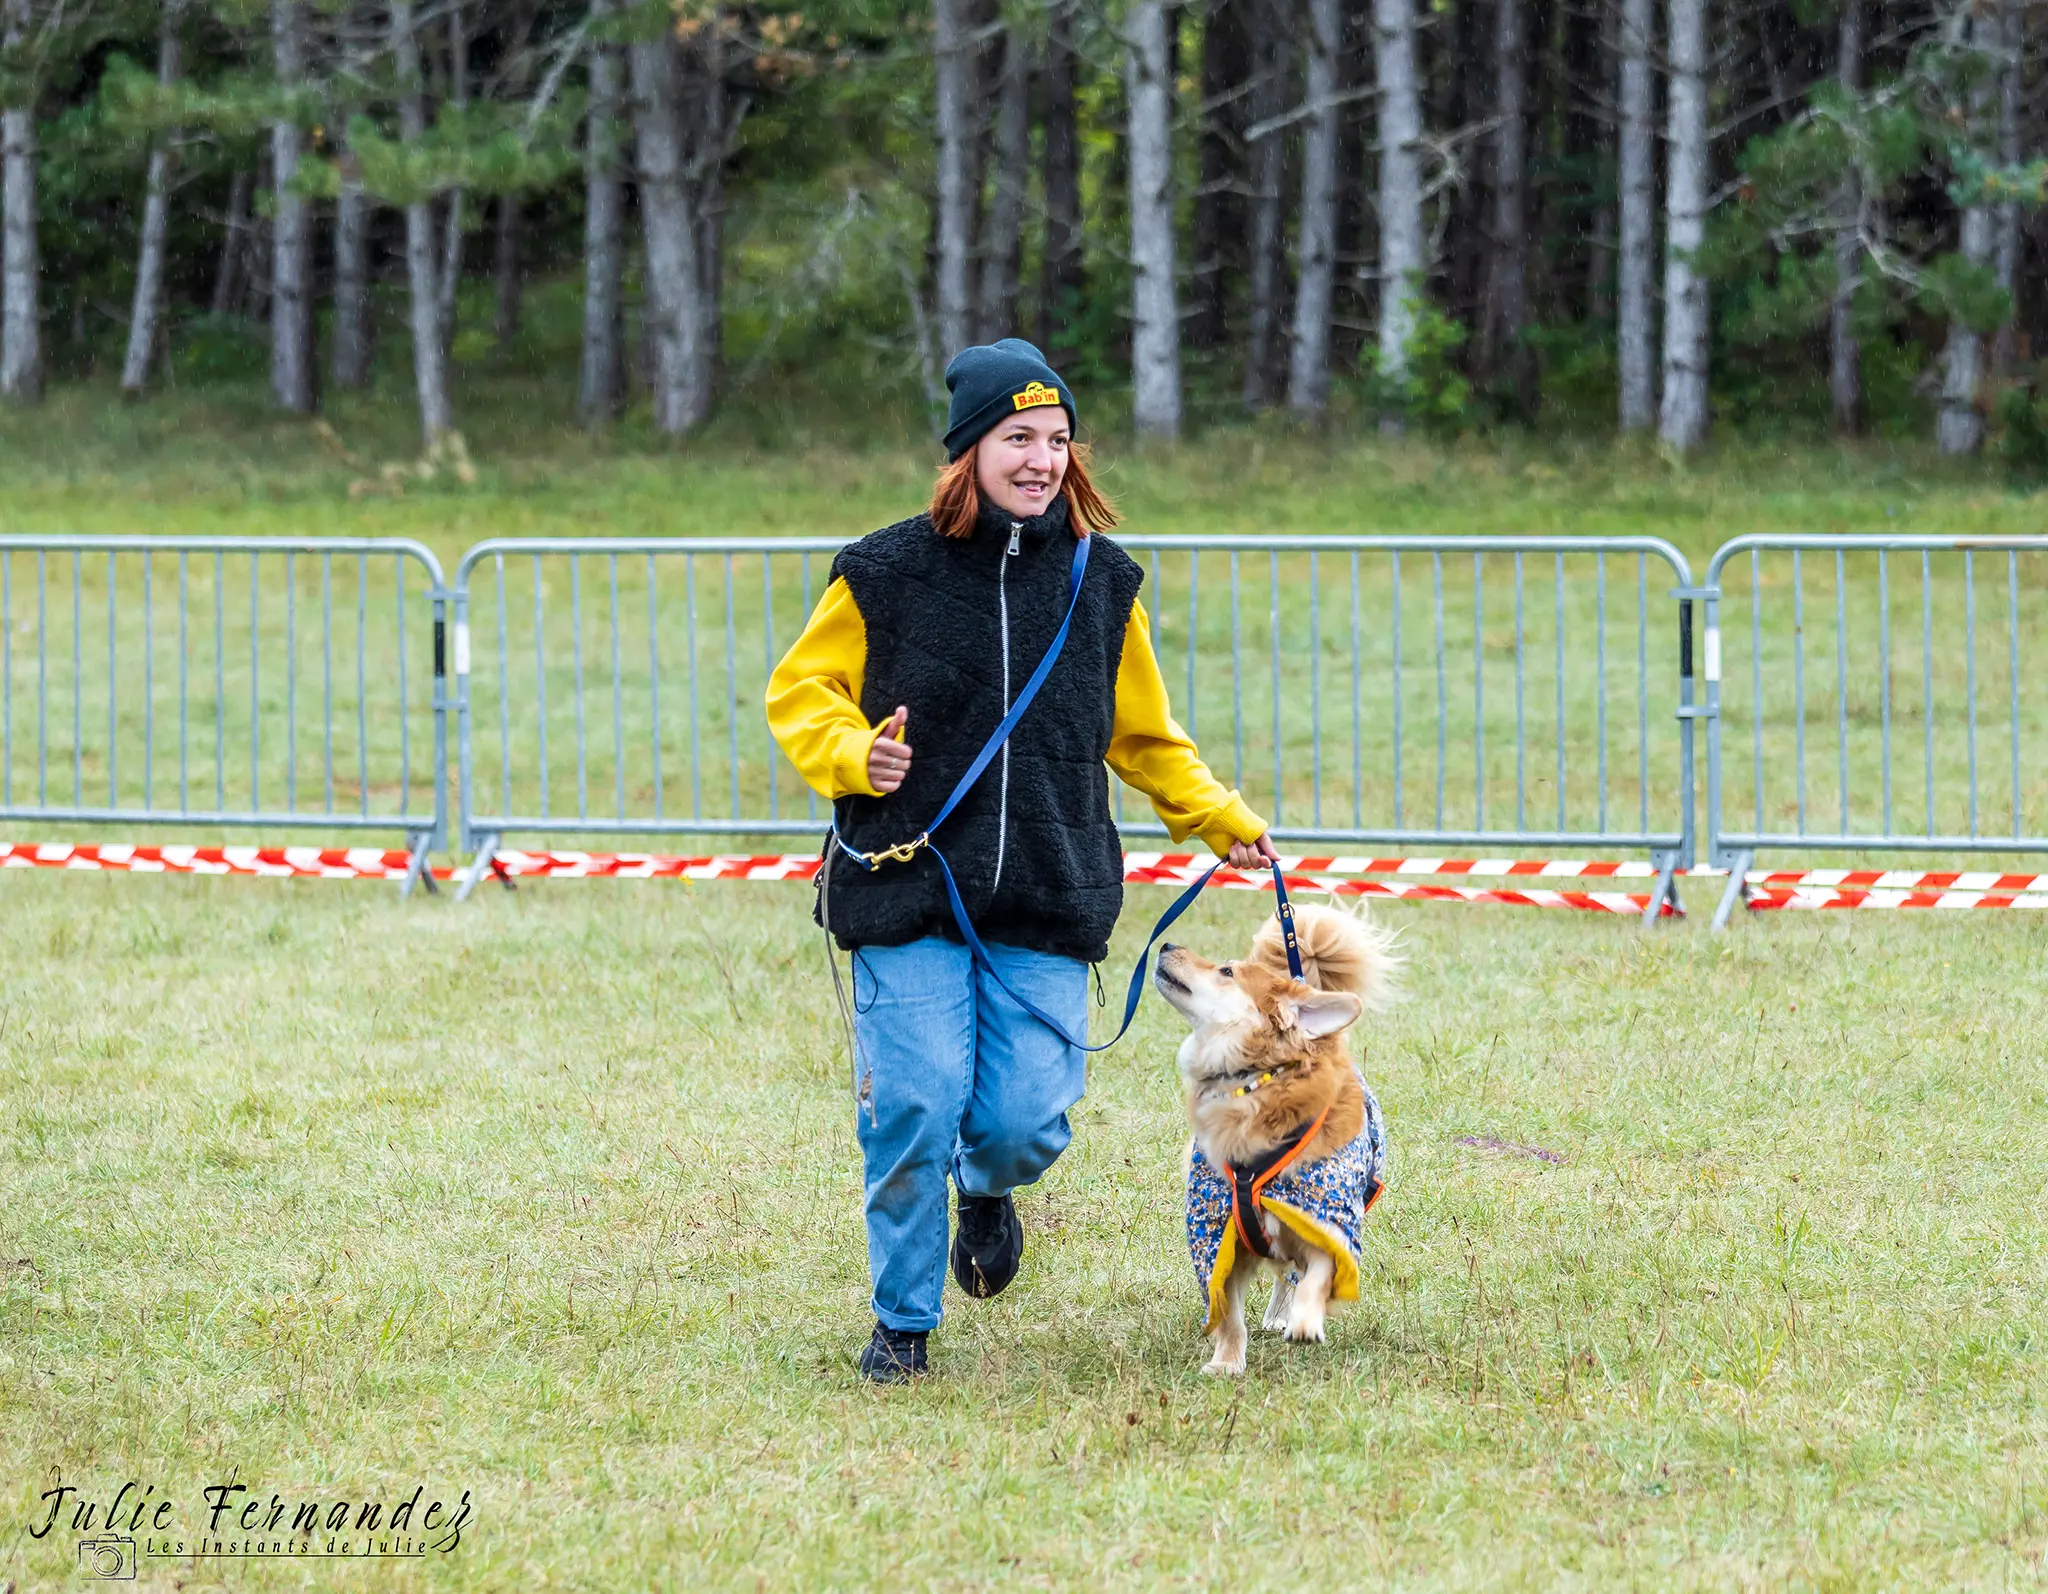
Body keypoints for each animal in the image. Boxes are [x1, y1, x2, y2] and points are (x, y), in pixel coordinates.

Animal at [1155, 901, 1392, 1368]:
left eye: (1226, 971)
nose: (1167, 943)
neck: (1254, 1081)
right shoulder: (1218, 1233)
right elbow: (1228, 1312)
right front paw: (1226, 1363)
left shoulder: (1327, 1221)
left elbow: (1317, 1276)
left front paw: (1304, 1322)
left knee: (1293, 1275)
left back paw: (1286, 1314)